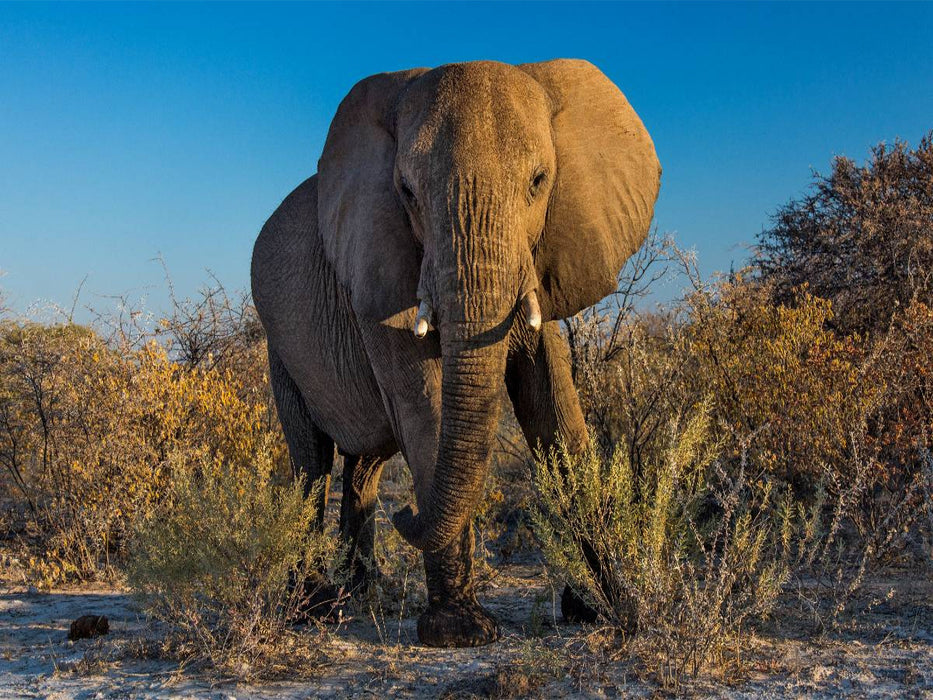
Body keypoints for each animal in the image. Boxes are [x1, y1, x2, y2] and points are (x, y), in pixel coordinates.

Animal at [250, 59, 660, 648]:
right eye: (406, 192)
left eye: (539, 182)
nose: (407, 513)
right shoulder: (378, 271)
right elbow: (425, 405)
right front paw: (460, 633)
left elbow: (552, 405)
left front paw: (612, 606)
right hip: (279, 346)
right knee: (311, 463)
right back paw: (314, 608)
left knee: (363, 465)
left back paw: (364, 593)